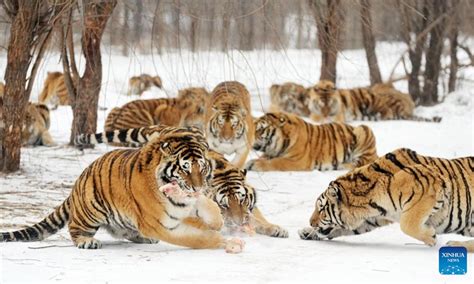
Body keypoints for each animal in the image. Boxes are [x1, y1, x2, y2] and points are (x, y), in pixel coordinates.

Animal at [0, 129, 244, 253]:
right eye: (185, 168)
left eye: (201, 168)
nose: (197, 186)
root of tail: (78, 182)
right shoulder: (160, 225)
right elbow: (198, 239)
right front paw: (226, 242)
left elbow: (212, 212)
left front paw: (219, 224)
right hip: (91, 211)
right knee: (74, 229)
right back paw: (87, 242)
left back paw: (143, 238)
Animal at [248, 112, 378, 172]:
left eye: (260, 129)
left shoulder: (297, 161)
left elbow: (276, 162)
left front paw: (255, 164)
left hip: (363, 128)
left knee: (362, 162)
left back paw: (342, 166)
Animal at [300, 148, 474, 252]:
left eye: (321, 209)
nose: (310, 222)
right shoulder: (371, 219)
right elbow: (342, 230)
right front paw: (306, 232)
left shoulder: (430, 186)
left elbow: (407, 224)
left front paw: (431, 236)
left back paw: (455, 245)